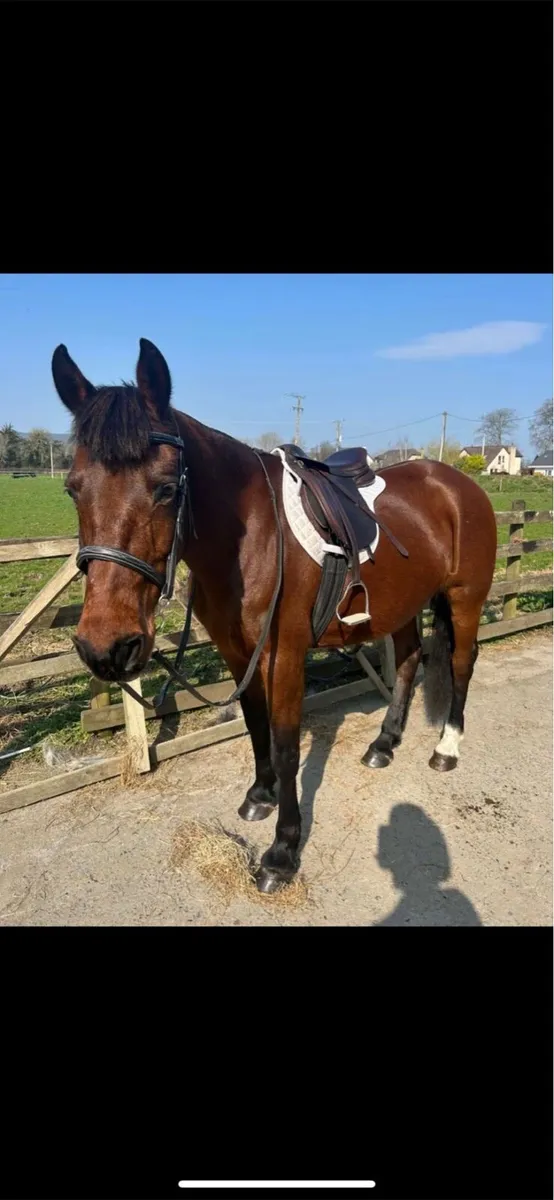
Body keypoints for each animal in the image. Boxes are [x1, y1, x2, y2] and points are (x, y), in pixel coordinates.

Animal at [51, 338, 498, 894]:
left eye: (166, 488)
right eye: (73, 488)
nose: (106, 646)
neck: (252, 539)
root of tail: (459, 485)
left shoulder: (283, 654)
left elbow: (286, 746)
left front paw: (283, 851)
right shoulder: (237, 650)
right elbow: (254, 723)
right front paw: (258, 797)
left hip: (464, 598)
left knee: (460, 664)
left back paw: (447, 748)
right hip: (404, 605)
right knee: (412, 659)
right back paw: (384, 743)